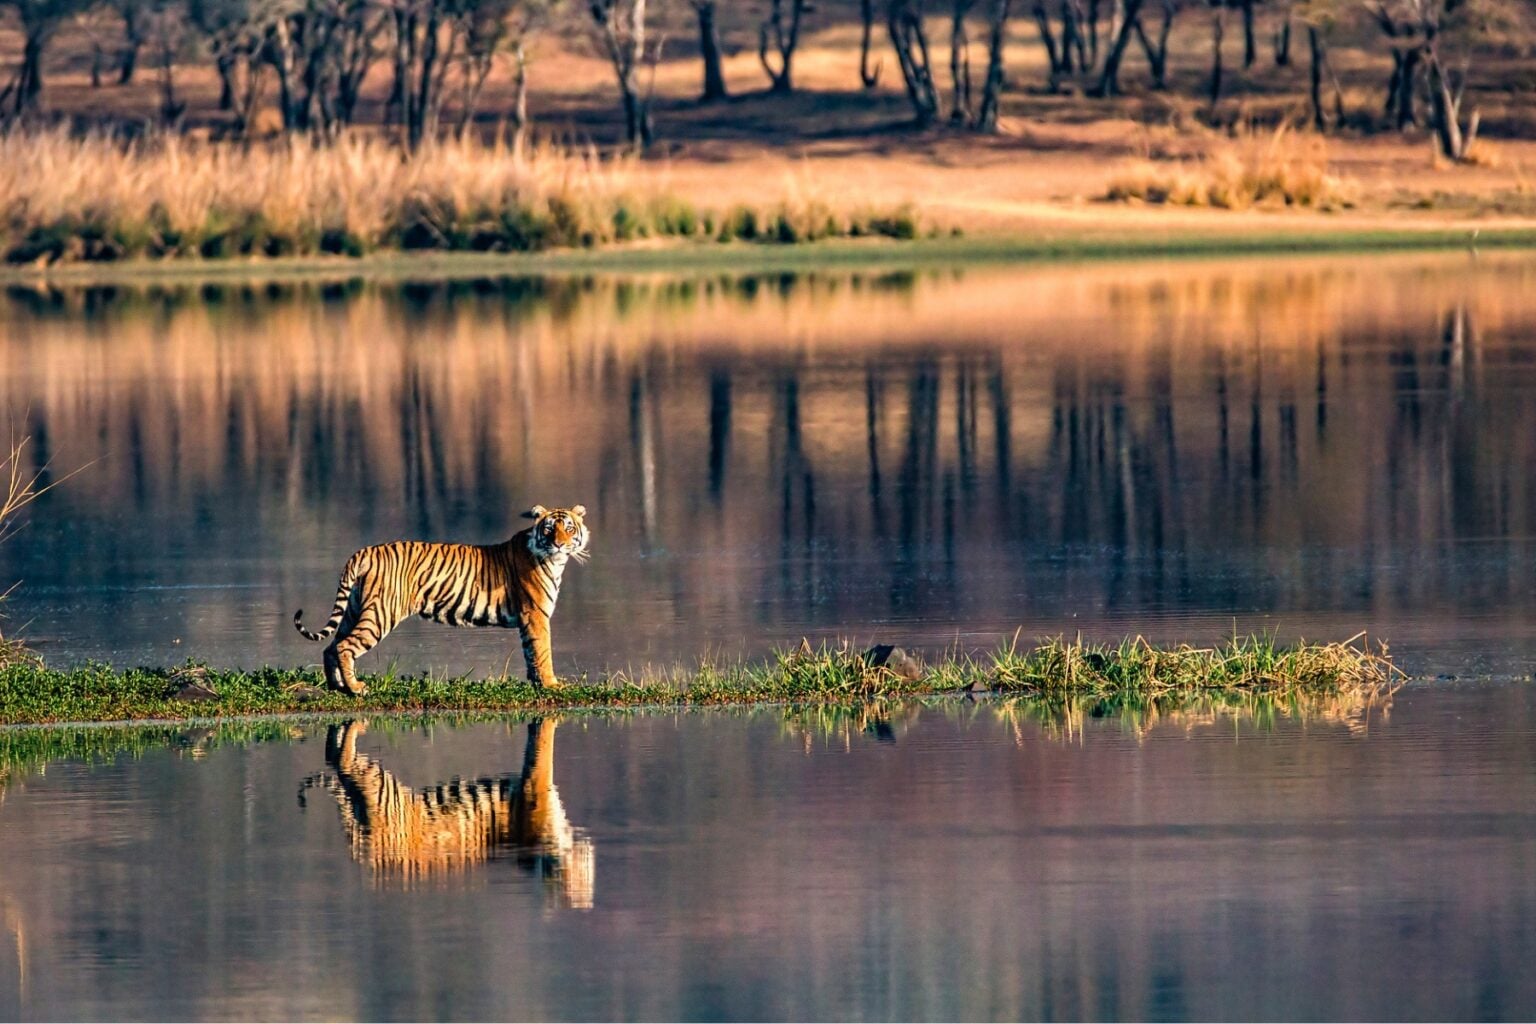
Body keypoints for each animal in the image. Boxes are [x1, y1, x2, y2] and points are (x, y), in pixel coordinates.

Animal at [293, 504, 589, 694]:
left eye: (569, 528)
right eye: (549, 529)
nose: (559, 544)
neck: (555, 562)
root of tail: (364, 551)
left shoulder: (530, 618)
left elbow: (531, 652)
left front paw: (539, 683)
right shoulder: (535, 614)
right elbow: (542, 650)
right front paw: (552, 684)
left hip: (355, 609)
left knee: (331, 646)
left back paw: (337, 686)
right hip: (380, 614)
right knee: (345, 646)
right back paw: (356, 688)